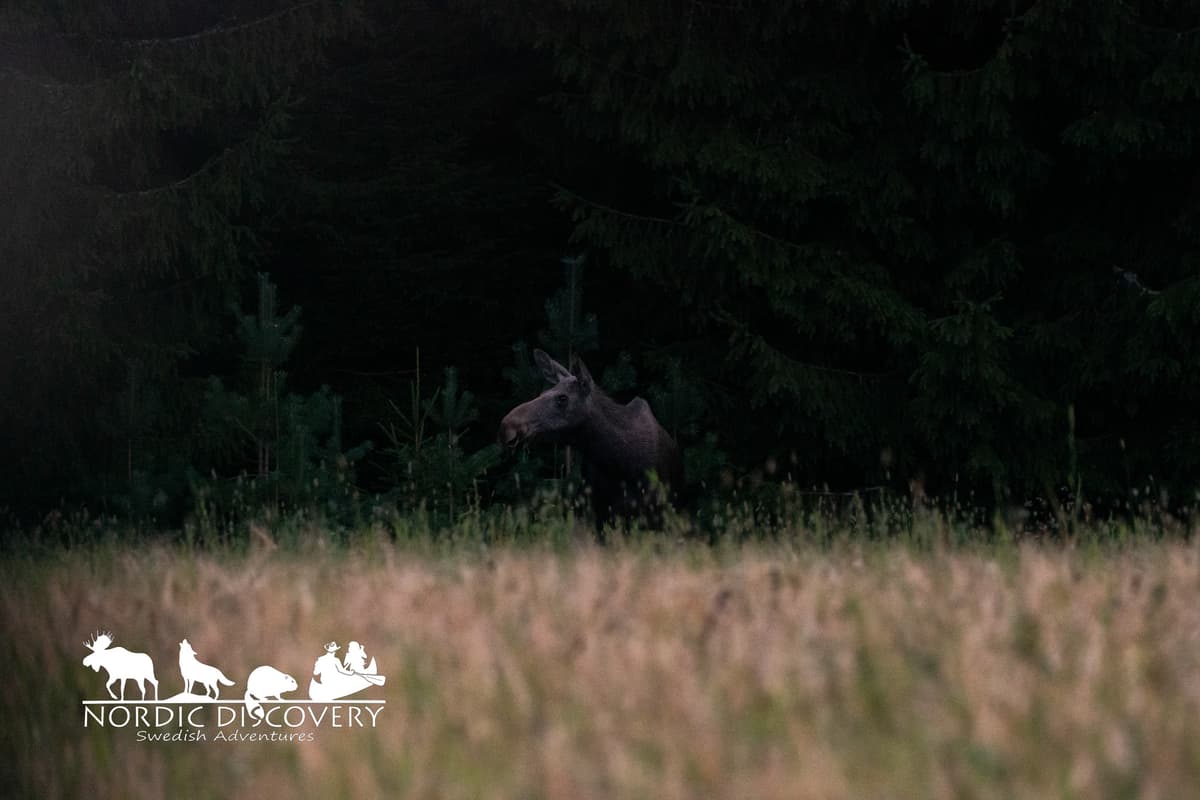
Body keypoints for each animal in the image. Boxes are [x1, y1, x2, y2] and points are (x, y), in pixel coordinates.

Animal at [498, 350, 683, 532]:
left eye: (562, 398)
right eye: (541, 394)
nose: (507, 426)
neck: (620, 463)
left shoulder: (655, 513)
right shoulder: (596, 512)